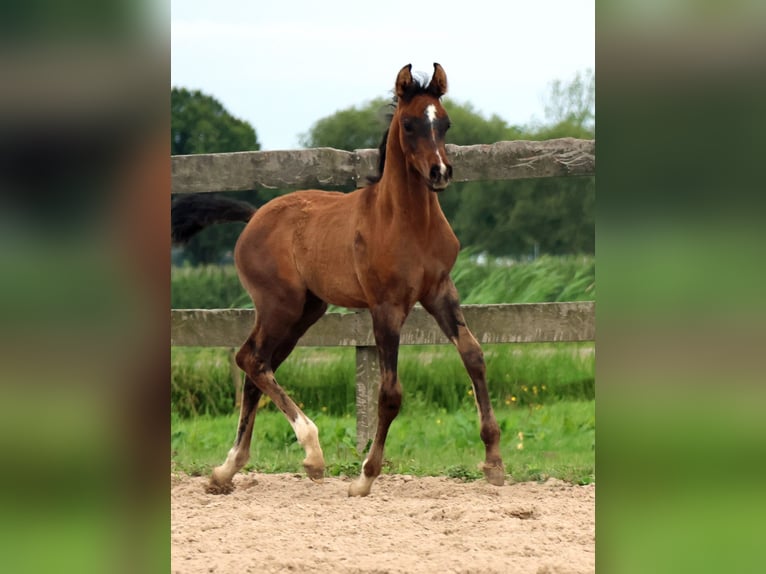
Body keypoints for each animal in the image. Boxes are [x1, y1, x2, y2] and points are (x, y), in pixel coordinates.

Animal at [172, 62, 508, 496]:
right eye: (410, 124)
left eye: (445, 123)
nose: (440, 172)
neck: (408, 223)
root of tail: (254, 217)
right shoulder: (386, 307)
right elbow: (390, 393)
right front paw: (365, 477)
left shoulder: (440, 292)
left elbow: (474, 356)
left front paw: (494, 462)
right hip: (279, 305)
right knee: (251, 359)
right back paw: (311, 453)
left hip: (306, 311)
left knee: (256, 367)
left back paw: (226, 470)